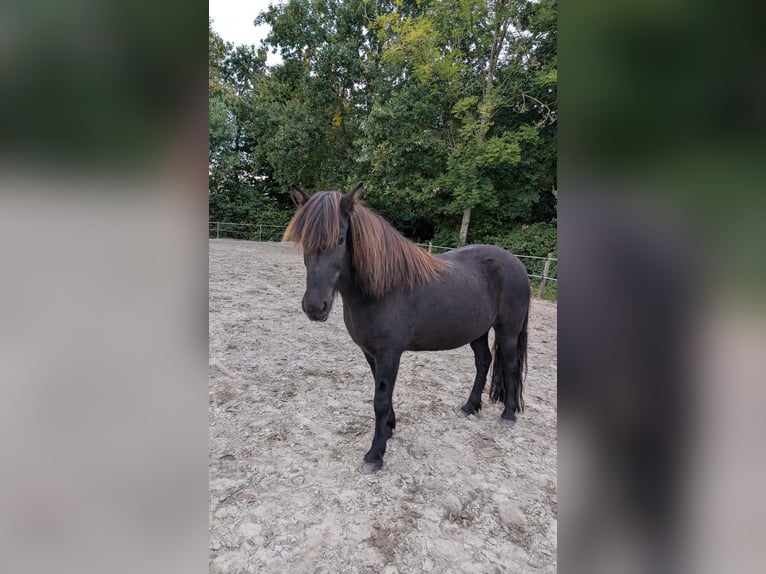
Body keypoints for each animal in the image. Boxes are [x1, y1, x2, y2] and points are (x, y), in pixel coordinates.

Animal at [283, 184, 531, 474]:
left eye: (342, 238)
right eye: (304, 240)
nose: (314, 307)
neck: (382, 289)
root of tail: (517, 264)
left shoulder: (389, 354)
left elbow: (380, 400)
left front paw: (375, 455)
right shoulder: (371, 353)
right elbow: (382, 393)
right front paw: (390, 428)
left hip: (508, 330)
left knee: (510, 366)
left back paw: (509, 414)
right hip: (477, 331)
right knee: (484, 361)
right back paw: (470, 406)